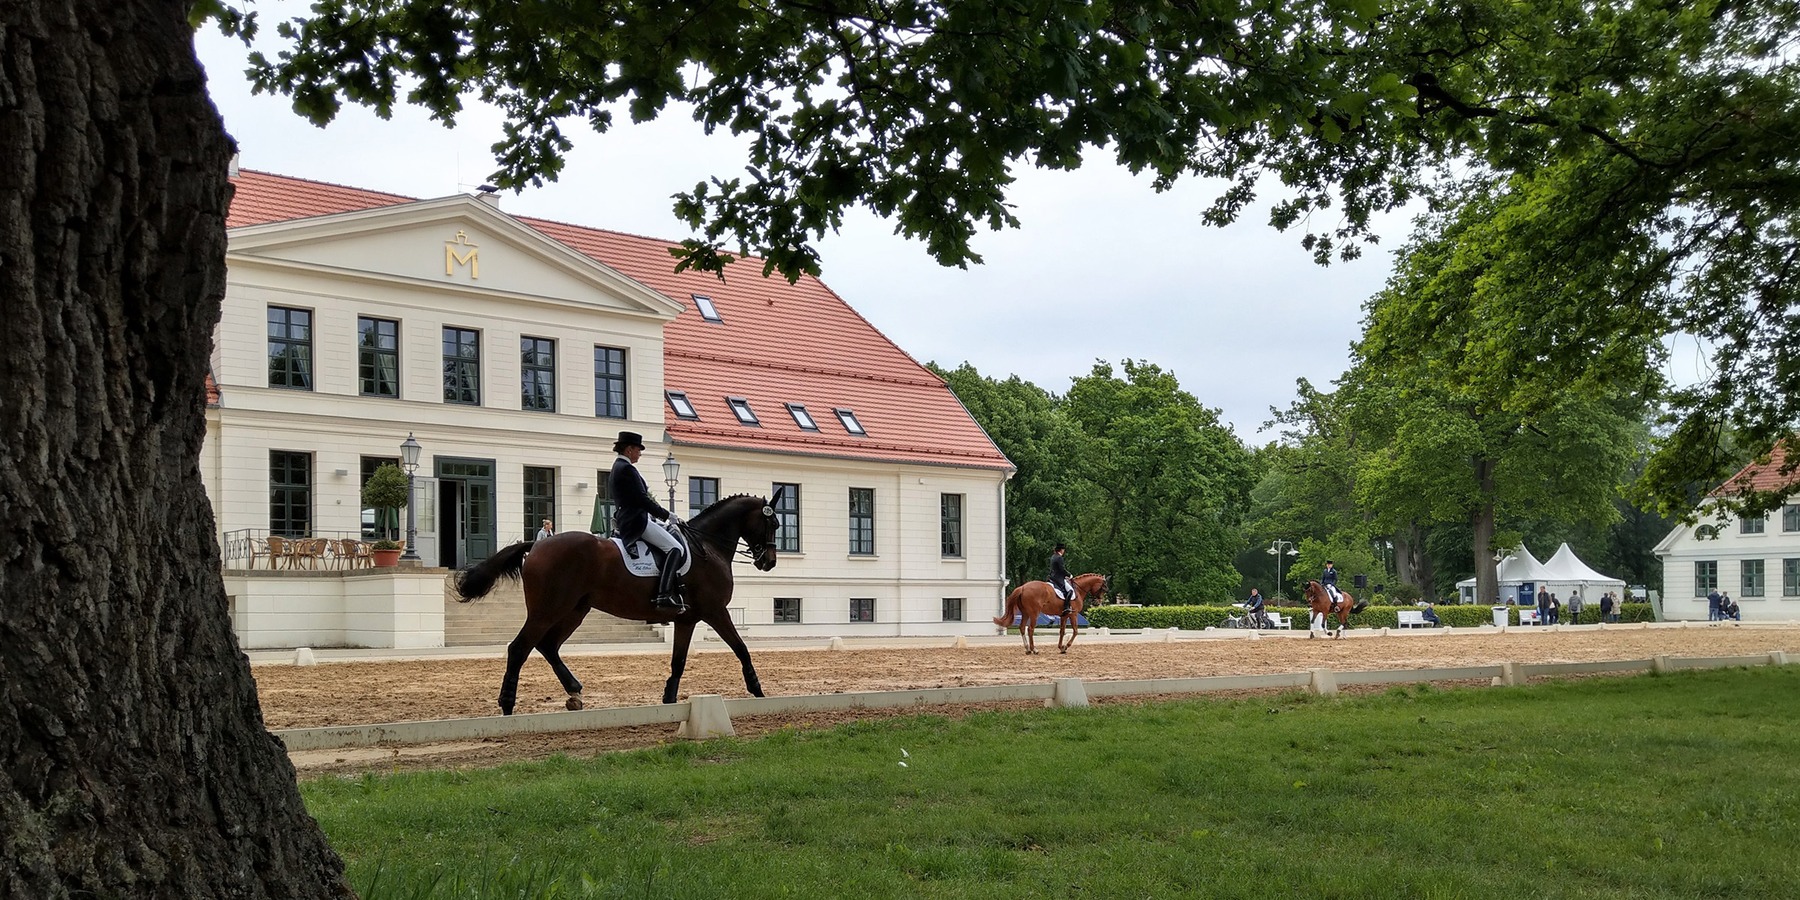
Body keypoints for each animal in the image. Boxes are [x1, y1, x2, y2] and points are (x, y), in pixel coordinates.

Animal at [455, 493, 779, 713]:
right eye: (773, 523)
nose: (769, 562)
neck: (708, 547)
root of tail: (537, 544)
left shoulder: (686, 619)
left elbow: (678, 661)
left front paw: (669, 699)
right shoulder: (716, 612)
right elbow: (741, 648)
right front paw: (758, 691)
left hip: (575, 610)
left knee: (547, 645)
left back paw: (574, 692)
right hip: (547, 611)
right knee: (519, 648)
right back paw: (507, 704)